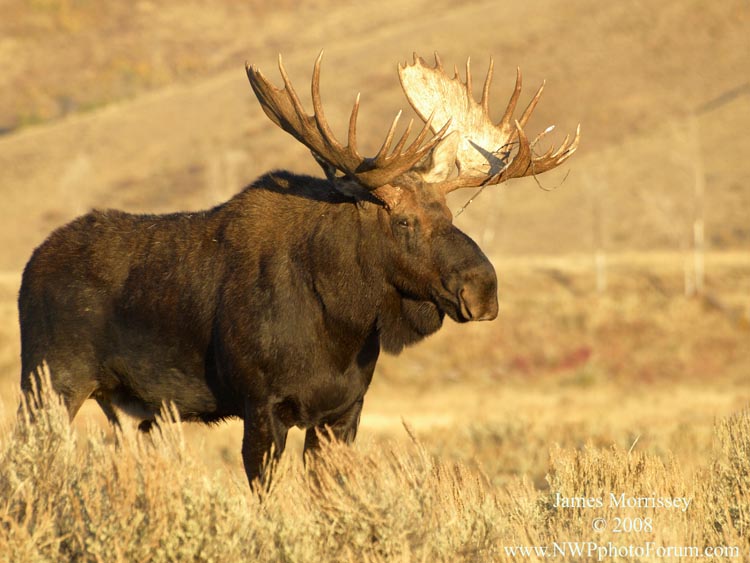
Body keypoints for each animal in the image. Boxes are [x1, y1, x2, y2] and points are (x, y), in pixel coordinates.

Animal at [19, 53, 579, 486]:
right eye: (402, 220)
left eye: (451, 215)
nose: (483, 290)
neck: (341, 325)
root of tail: (29, 267)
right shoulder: (262, 406)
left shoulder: (343, 412)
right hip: (49, 383)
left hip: (125, 406)